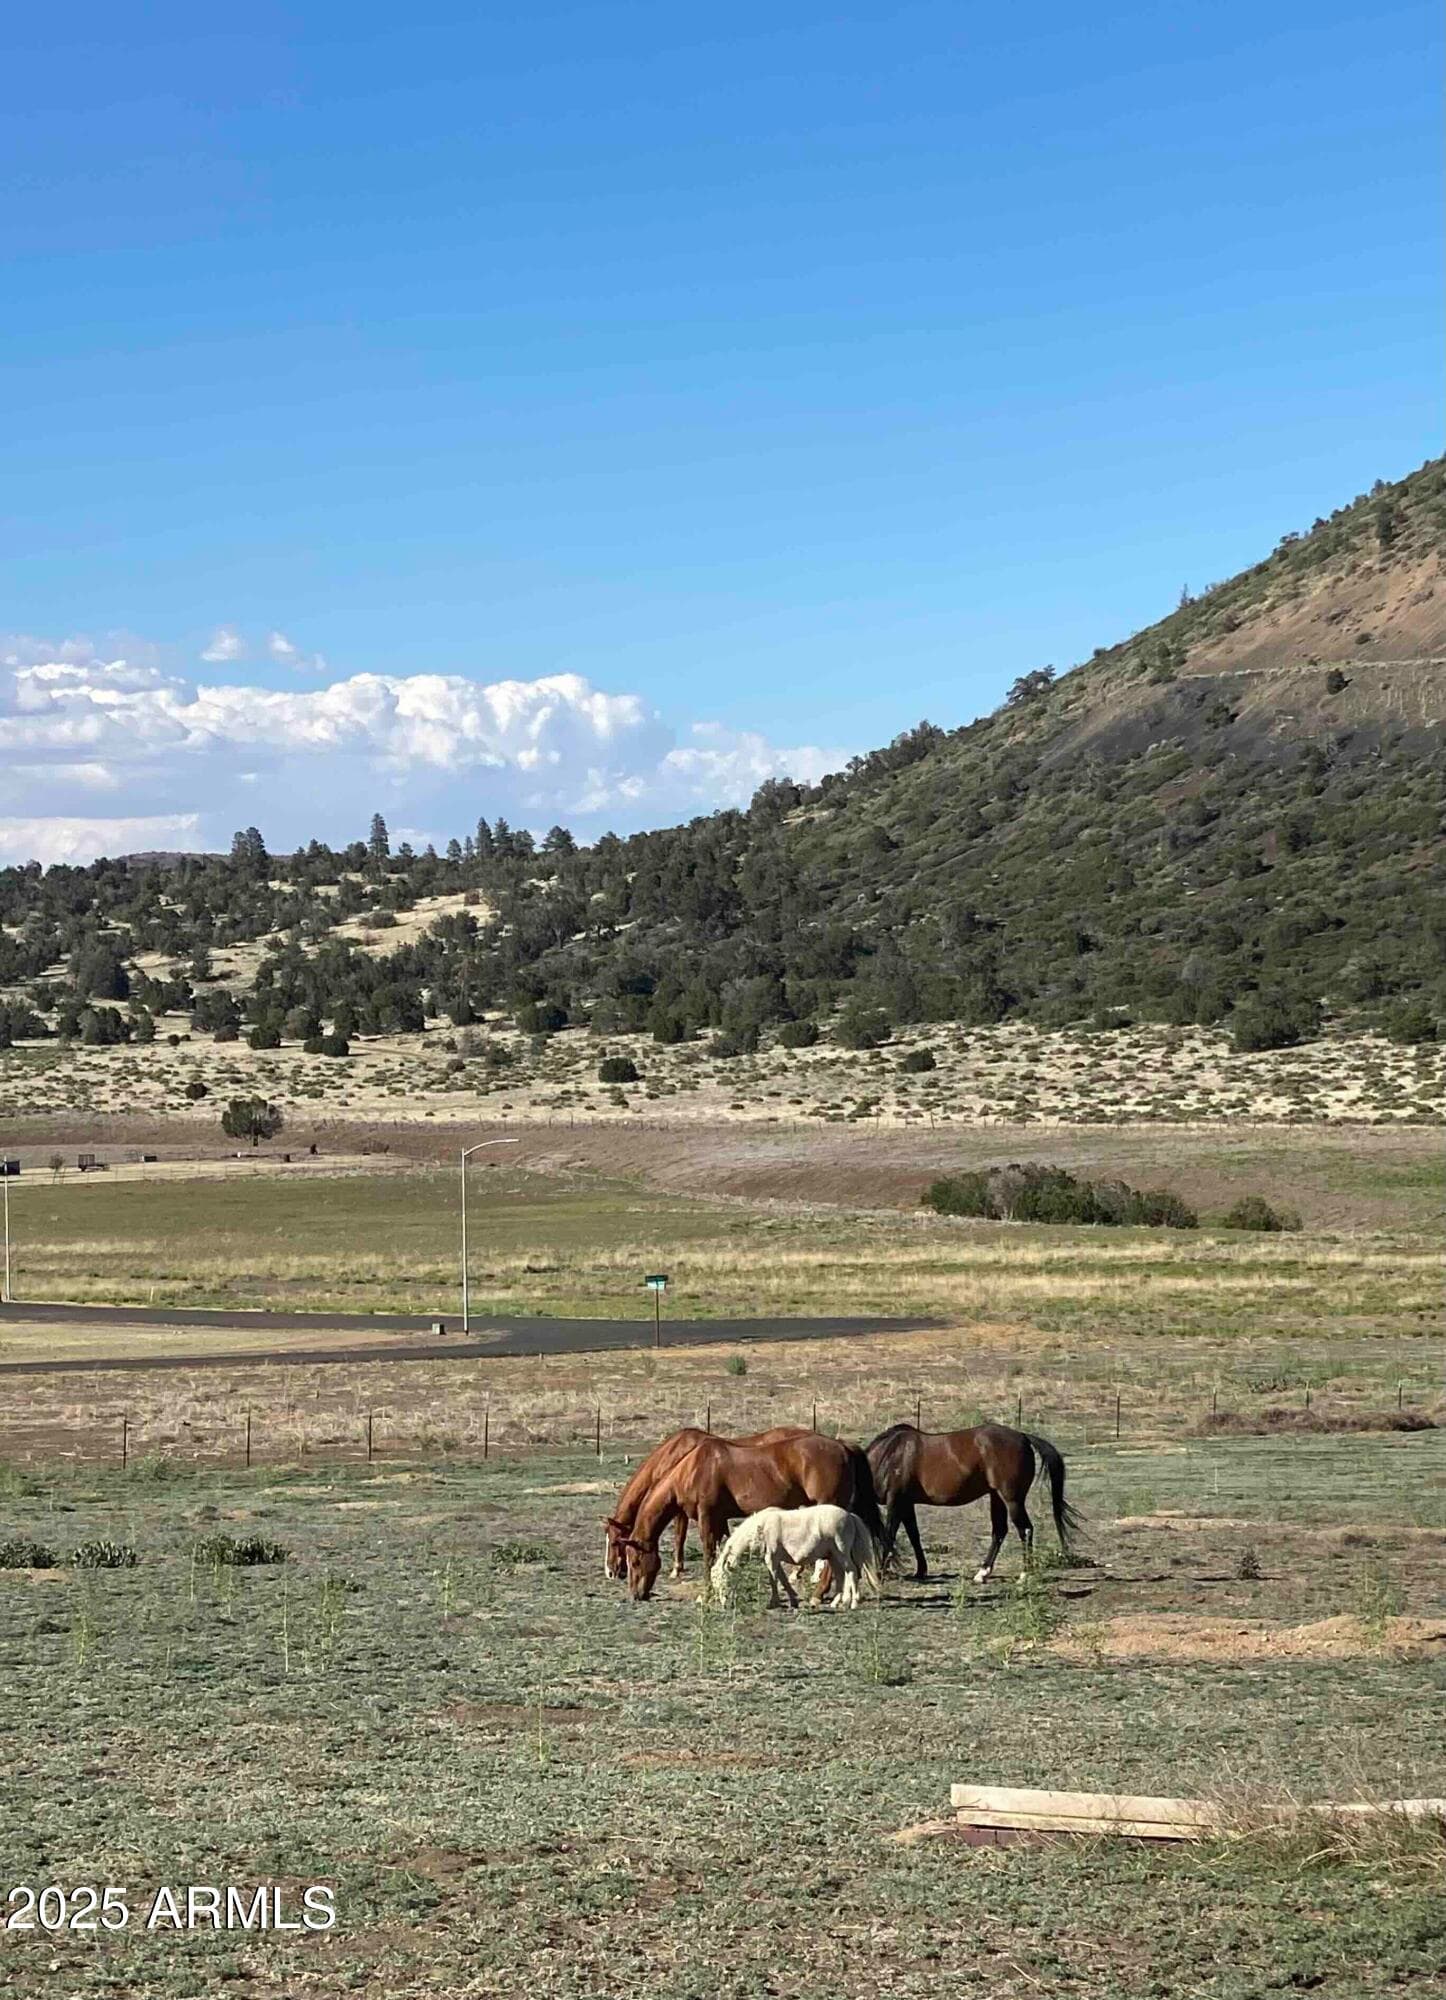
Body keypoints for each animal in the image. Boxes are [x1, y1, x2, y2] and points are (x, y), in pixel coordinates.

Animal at [603, 1426, 808, 1581]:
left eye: (614, 1541)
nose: (610, 1572)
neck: (676, 1455)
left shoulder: (683, 1512)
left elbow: (680, 1537)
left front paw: (676, 1569)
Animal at [620, 1433, 886, 1601]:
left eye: (635, 1561)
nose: (635, 1595)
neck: (693, 1468)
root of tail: (842, 1446)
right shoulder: (719, 1520)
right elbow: (724, 1553)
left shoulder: (707, 1518)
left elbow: (708, 1555)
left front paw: (706, 1594)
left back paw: (819, 1595)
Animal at [712, 1504, 881, 1612]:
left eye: (723, 1579)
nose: (723, 1604)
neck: (762, 1528)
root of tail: (849, 1515)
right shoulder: (775, 1560)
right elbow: (783, 1579)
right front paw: (793, 1601)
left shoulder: (771, 1559)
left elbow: (774, 1579)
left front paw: (773, 1603)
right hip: (833, 1556)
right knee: (841, 1576)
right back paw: (836, 1602)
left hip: (842, 1553)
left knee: (851, 1572)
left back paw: (851, 1603)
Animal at [866, 1422, 1083, 1582]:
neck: (888, 1456)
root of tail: (1023, 1437)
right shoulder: (906, 1504)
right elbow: (914, 1536)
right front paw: (920, 1571)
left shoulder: (896, 1501)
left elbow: (889, 1534)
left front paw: (881, 1572)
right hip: (996, 1498)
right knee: (999, 1532)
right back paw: (982, 1573)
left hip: (1012, 1500)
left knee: (1025, 1530)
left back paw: (1024, 1575)